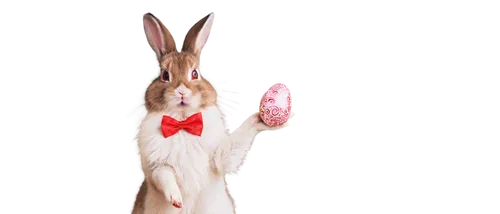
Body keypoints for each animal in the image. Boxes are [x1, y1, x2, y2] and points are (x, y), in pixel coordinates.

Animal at [127, 10, 294, 214]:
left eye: (195, 73)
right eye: (165, 75)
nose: (181, 91)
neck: (183, 122)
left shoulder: (217, 159)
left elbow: (233, 147)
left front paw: (262, 120)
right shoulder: (155, 166)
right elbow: (164, 177)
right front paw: (177, 199)